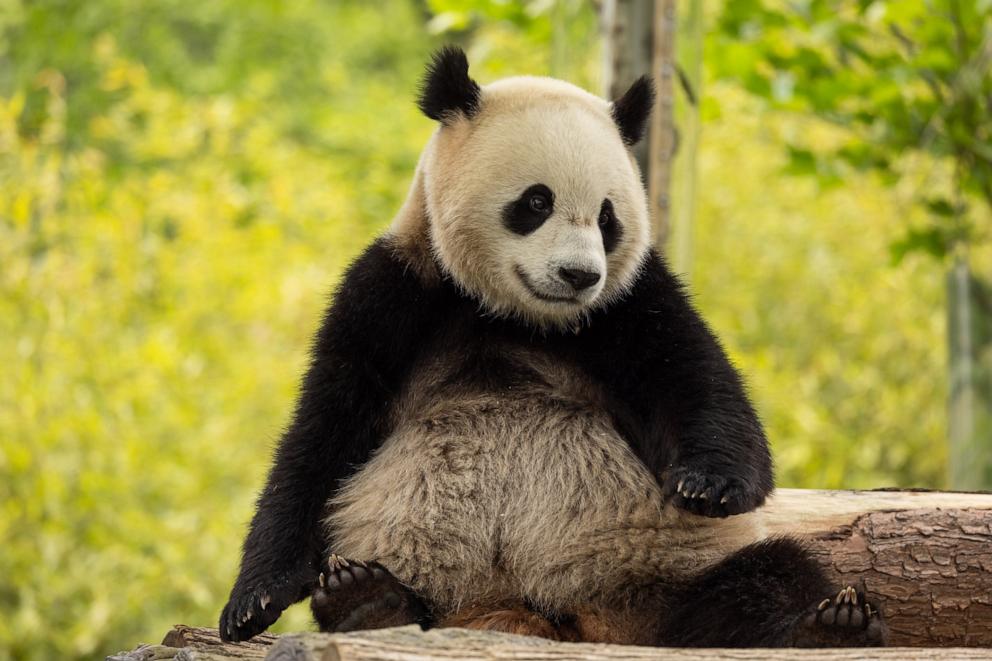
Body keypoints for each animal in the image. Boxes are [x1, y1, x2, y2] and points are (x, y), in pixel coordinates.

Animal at [215, 49, 884, 648]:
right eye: (536, 202)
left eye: (608, 217)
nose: (579, 275)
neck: (513, 316)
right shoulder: (394, 293)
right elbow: (322, 434)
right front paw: (252, 601)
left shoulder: (630, 304)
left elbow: (702, 387)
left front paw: (707, 484)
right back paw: (368, 602)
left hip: (670, 575)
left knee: (766, 577)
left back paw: (829, 625)